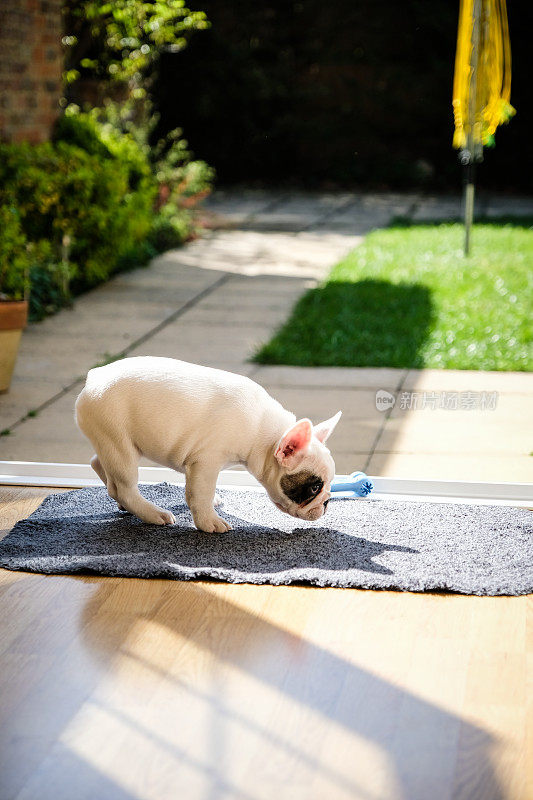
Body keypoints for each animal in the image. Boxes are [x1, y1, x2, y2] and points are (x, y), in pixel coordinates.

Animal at [75, 356, 340, 532]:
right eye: (314, 488)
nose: (327, 502)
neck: (264, 433)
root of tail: (94, 379)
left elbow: (200, 490)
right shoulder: (206, 462)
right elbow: (200, 492)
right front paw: (208, 522)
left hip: (114, 442)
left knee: (100, 465)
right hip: (119, 443)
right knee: (124, 487)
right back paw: (153, 514)